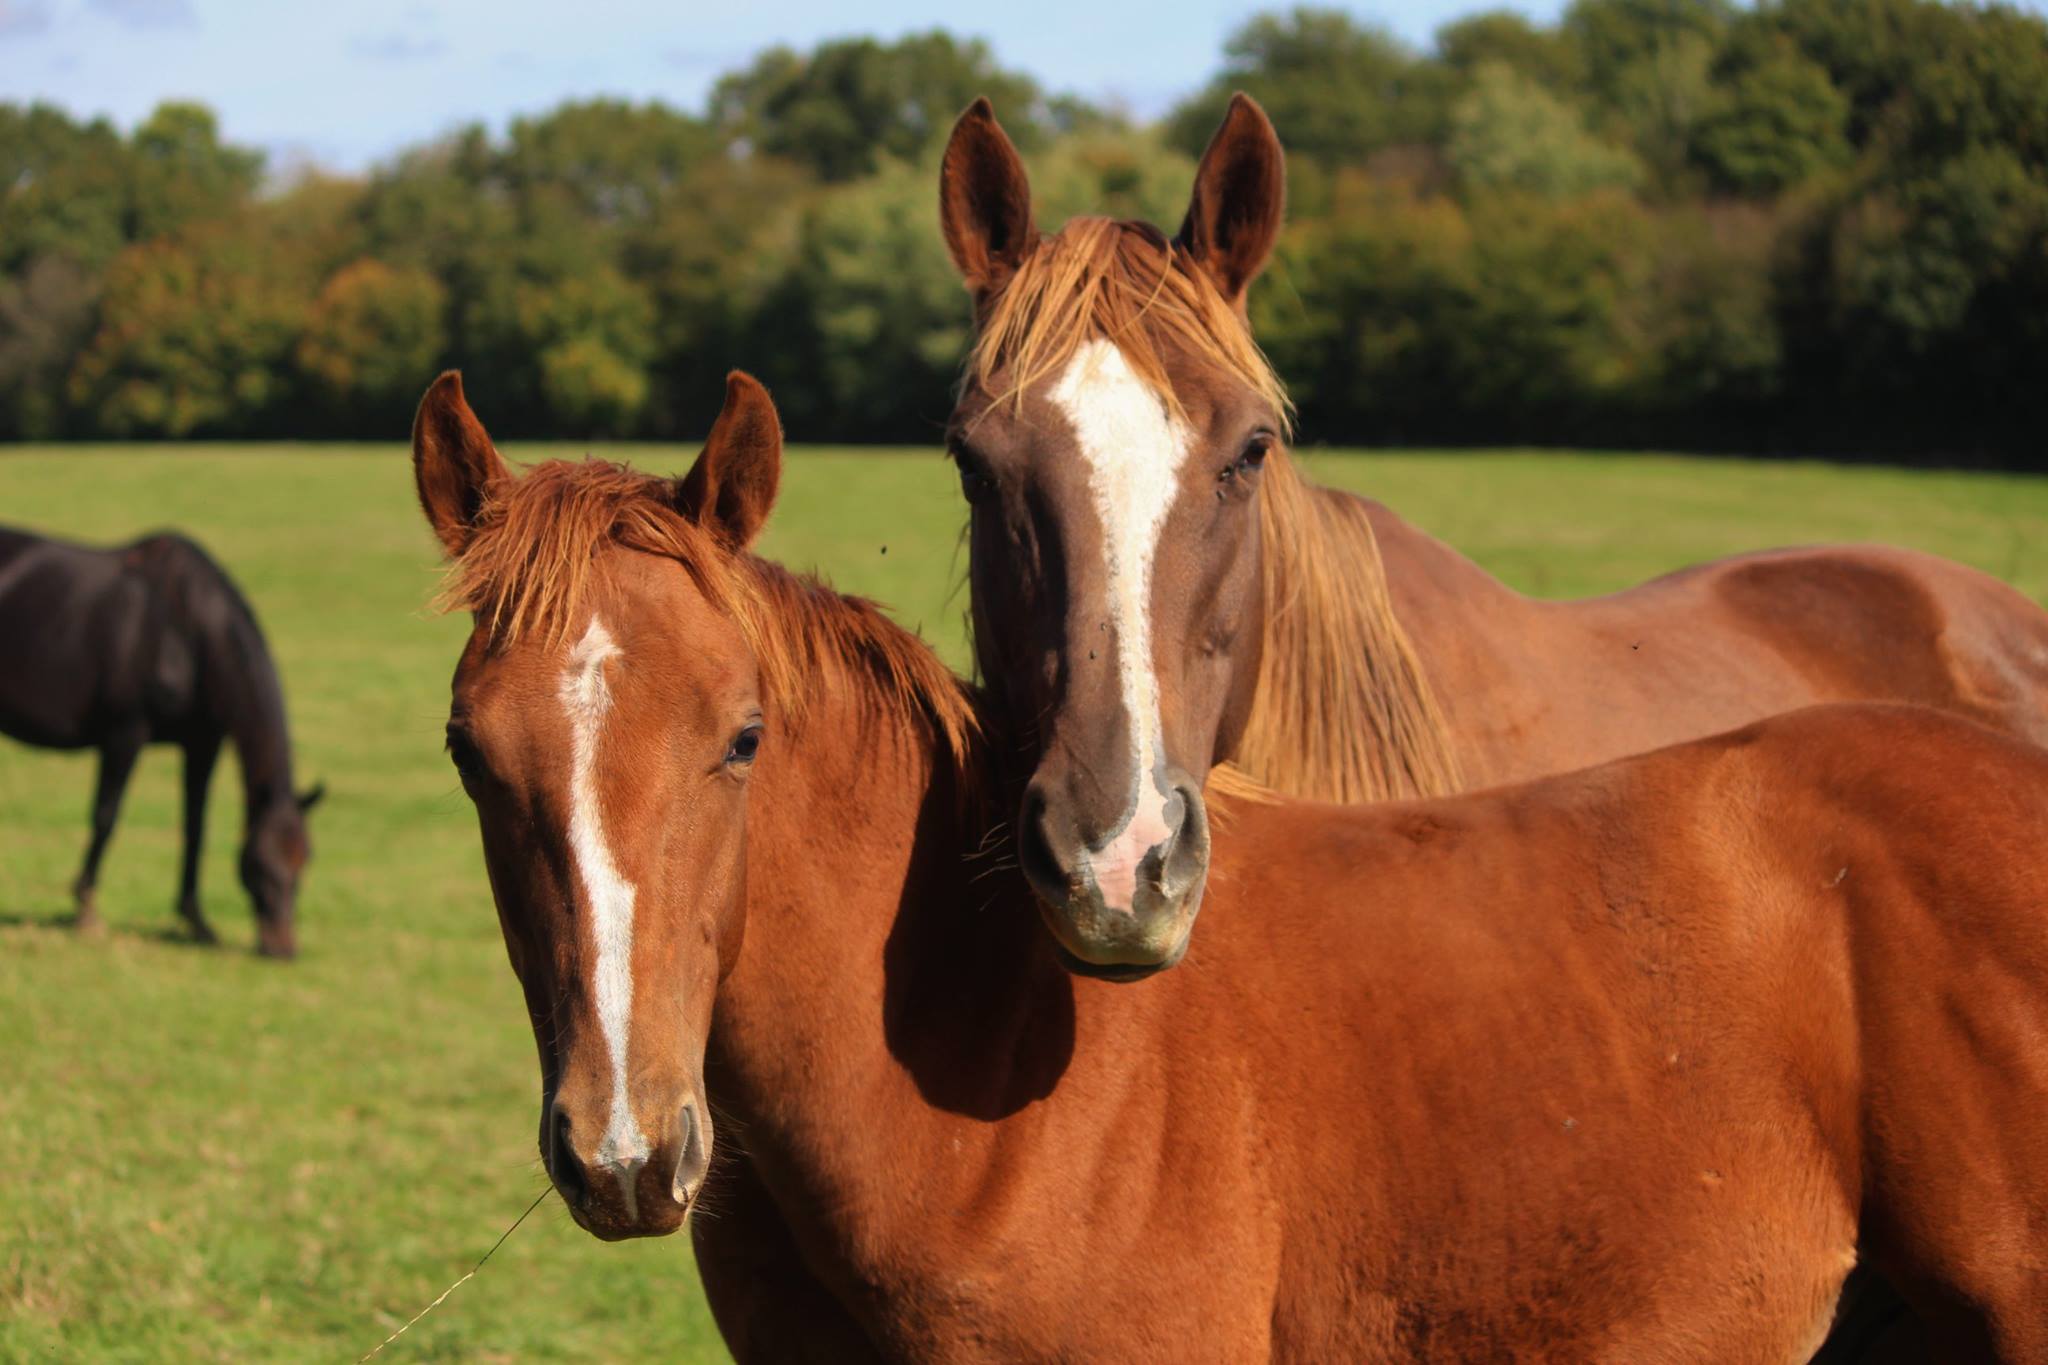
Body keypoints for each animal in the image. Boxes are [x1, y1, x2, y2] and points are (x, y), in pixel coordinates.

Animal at [0, 527, 319, 961]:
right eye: (261, 863)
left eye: (305, 860)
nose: (283, 950)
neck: (185, 632)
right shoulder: (126, 732)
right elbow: (106, 816)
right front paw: (86, 909)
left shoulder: (203, 742)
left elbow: (196, 826)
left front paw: (196, 919)